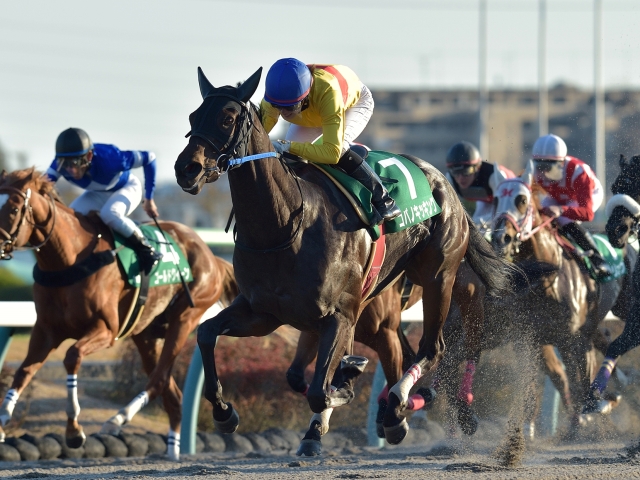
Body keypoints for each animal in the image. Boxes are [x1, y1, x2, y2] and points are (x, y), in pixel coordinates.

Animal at [0, 167, 238, 460]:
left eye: (13, 208)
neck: (68, 260)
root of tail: (210, 254)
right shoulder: (45, 331)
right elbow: (24, 371)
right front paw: (2, 422)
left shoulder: (105, 329)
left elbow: (72, 356)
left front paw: (74, 430)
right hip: (146, 333)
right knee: (171, 392)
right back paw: (172, 452)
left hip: (185, 317)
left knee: (158, 380)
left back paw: (117, 419)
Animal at [174, 67, 520, 454]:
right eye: (193, 117)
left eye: (227, 118)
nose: (186, 169)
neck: (282, 226)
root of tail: (444, 184)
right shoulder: (261, 312)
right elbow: (207, 332)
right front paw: (225, 412)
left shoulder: (339, 315)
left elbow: (320, 390)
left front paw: (345, 387)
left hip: (439, 278)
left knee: (432, 348)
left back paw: (400, 403)